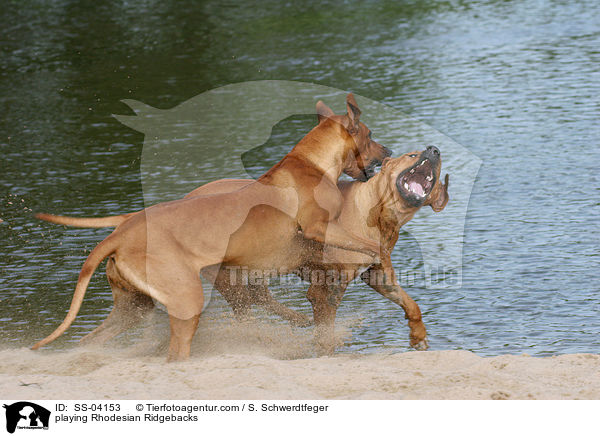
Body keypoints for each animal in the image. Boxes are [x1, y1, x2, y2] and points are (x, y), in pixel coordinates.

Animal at [32, 93, 392, 360]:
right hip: (187, 299)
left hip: (132, 307)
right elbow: (370, 245)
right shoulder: (320, 227)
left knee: (92, 338)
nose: (388, 151)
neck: (311, 161)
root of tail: (121, 232)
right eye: (371, 135)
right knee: (180, 349)